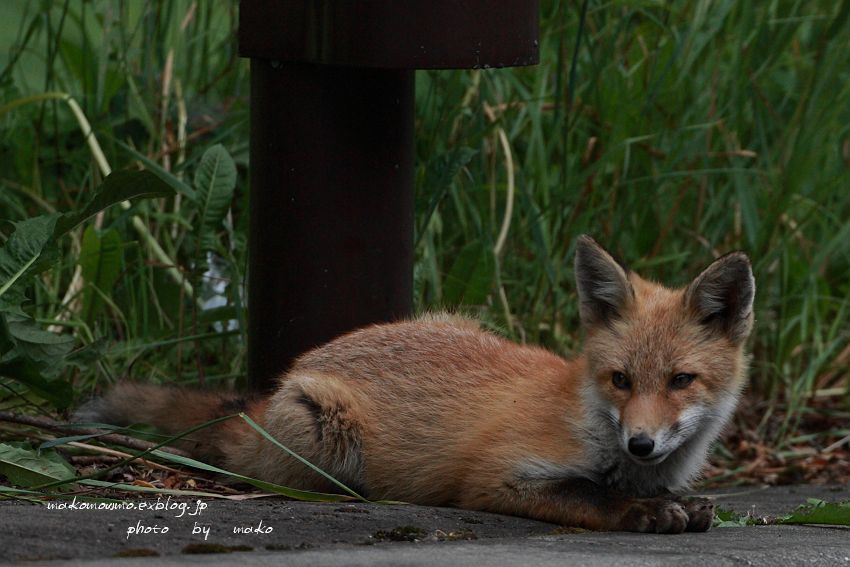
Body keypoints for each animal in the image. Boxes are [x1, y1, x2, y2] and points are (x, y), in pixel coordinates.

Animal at [81, 237, 756, 536]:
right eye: (621, 380)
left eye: (680, 380)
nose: (641, 443)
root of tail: (276, 385)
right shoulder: (495, 478)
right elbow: (589, 497)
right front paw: (642, 512)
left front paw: (681, 503)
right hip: (325, 435)